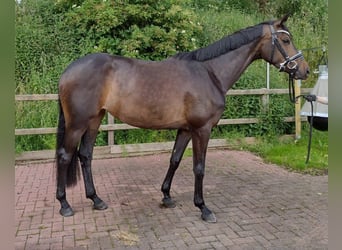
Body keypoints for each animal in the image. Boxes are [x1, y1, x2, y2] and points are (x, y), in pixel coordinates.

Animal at [54, 15, 308, 223]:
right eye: (286, 40)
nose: (304, 70)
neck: (210, 73)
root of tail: (67, 72)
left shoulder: (186, 129)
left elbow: (174, 160)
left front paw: (166, 196)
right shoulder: (202, 129)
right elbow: (199, 167)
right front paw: (203, 208)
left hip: (94, 121)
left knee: (85, 156)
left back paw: (96, 200)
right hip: (77, 124)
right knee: (65, 156)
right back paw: (64, 204)